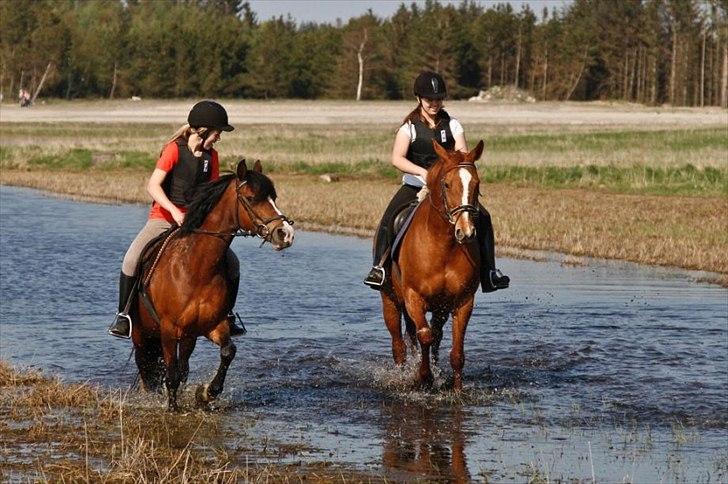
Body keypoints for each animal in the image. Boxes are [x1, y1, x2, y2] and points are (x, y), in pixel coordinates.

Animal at [131, 161, 292, 410]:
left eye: (273, 197)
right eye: (251, 198)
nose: (286, 234)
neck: (197, 268)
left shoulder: (212, 325)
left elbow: (228, 352)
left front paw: (207, 393)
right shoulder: (168, 329)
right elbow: (171, 374)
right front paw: (173, 409)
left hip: (187, 337)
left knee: (181, 368)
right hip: (142, 334)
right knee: (148, 370)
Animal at [382, 140, 484, 394]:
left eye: (476, 184)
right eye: (447, 184)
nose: (466, 231)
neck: (443, 246)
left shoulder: (463, 301)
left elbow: (456, 351)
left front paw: (456, 389)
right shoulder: (413, 297)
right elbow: (424, 336)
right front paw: (423, 377)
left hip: (440, 307)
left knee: (435, 336)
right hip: (390, 300)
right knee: (399, 344)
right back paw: (404, 375)